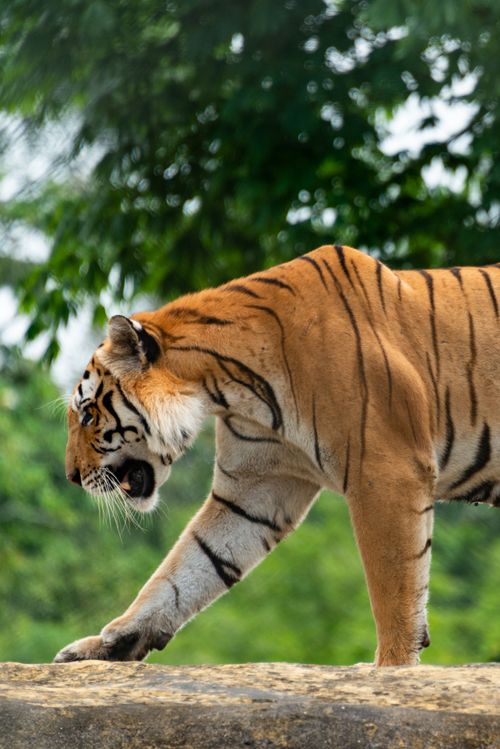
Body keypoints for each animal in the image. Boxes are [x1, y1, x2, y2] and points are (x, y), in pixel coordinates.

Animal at [55, 244, 500, 667]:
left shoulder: (388, 471)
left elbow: (395, 590)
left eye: (88, 413)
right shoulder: (255, 489)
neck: (225, 385)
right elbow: (186, 568)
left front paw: (392, 668)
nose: (72, 476)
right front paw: (107, 644)